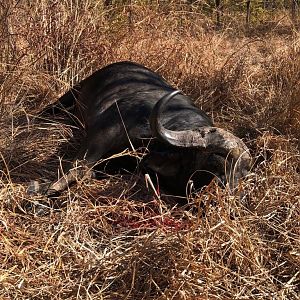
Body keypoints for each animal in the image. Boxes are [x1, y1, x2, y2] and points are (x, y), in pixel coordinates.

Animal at [29, 61, 251, 197]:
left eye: (244, 173)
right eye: (219, 159)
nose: (233, 194)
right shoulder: (101, 134)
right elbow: (79, 166)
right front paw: (43, 188)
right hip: (71, 93)